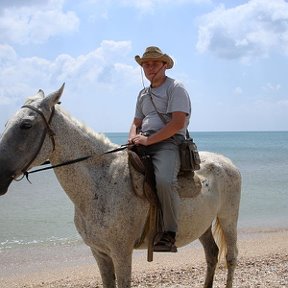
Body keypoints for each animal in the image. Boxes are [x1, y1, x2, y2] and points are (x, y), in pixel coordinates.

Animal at [0, 85, 241, 288]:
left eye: (26, 125)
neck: (101, 182)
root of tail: (227, 162)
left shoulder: (121, 253)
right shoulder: (99, 253)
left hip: (228, 218)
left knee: (230, 257)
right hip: (203, 225)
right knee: (212, 254)